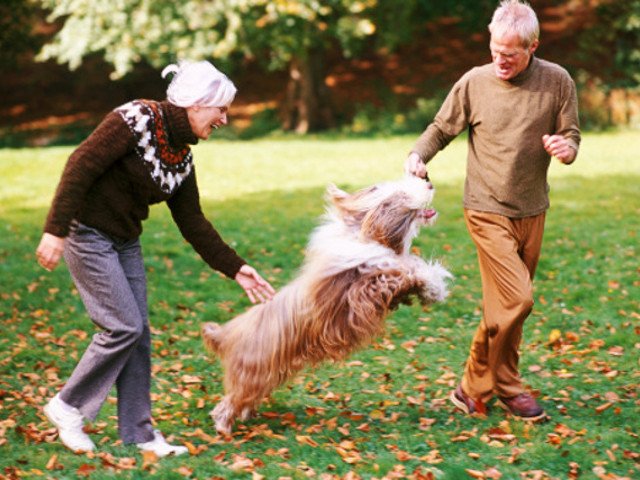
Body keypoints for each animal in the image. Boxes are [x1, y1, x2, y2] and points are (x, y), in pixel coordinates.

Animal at [202, 176, 452, 436]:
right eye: (401, 194)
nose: (429, 183)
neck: (363, 233)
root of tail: (226, 334)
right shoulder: (361, 294)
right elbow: (397, 274)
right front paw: (430, 282)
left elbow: (407, 272)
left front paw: (432, 288)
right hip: (254, 372)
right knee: (230, 401)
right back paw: (223, 427)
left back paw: (246, 415)